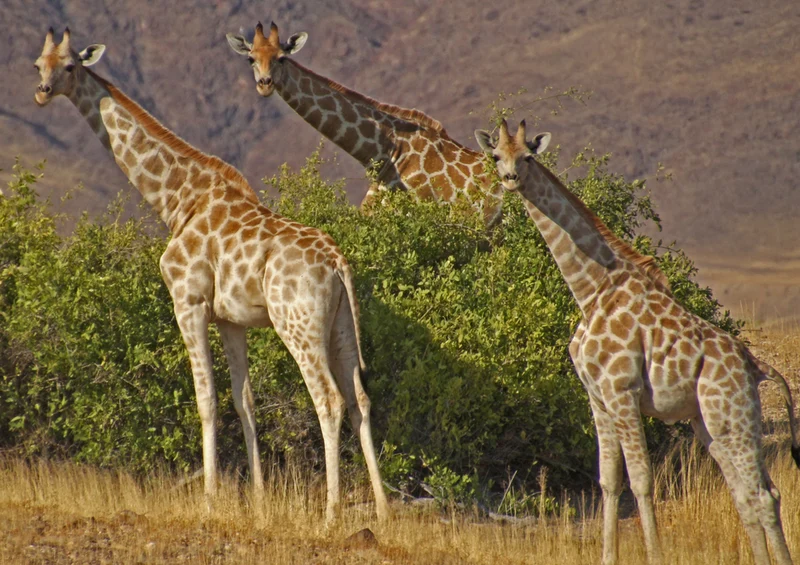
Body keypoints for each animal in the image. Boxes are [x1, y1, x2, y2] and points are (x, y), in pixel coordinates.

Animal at [33, 27, 389, 523]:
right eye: (37, 64)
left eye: (69, 66)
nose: (42, 92)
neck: (177, 200)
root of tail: (338, 263)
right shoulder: (230, 319)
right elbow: (245, 402)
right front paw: (258, 501)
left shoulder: (188, 302)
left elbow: (206, 400)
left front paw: (208, 499)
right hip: (340, 325)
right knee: (360, 400)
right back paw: (385, 511)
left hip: (297, 325)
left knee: (329, 399)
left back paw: (331, 515)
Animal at [475, 120, 800, 565]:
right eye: (496, 155)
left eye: (527, 156)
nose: (509, 179)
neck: (591, 288)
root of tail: (756, 365)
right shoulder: (597, 397)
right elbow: (609, 480)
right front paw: (607, 557)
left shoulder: (623, 391)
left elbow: (642, 480)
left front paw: (654, 555)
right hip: (709, 423)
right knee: (746, 496)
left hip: (733, 417)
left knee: (764, 494)